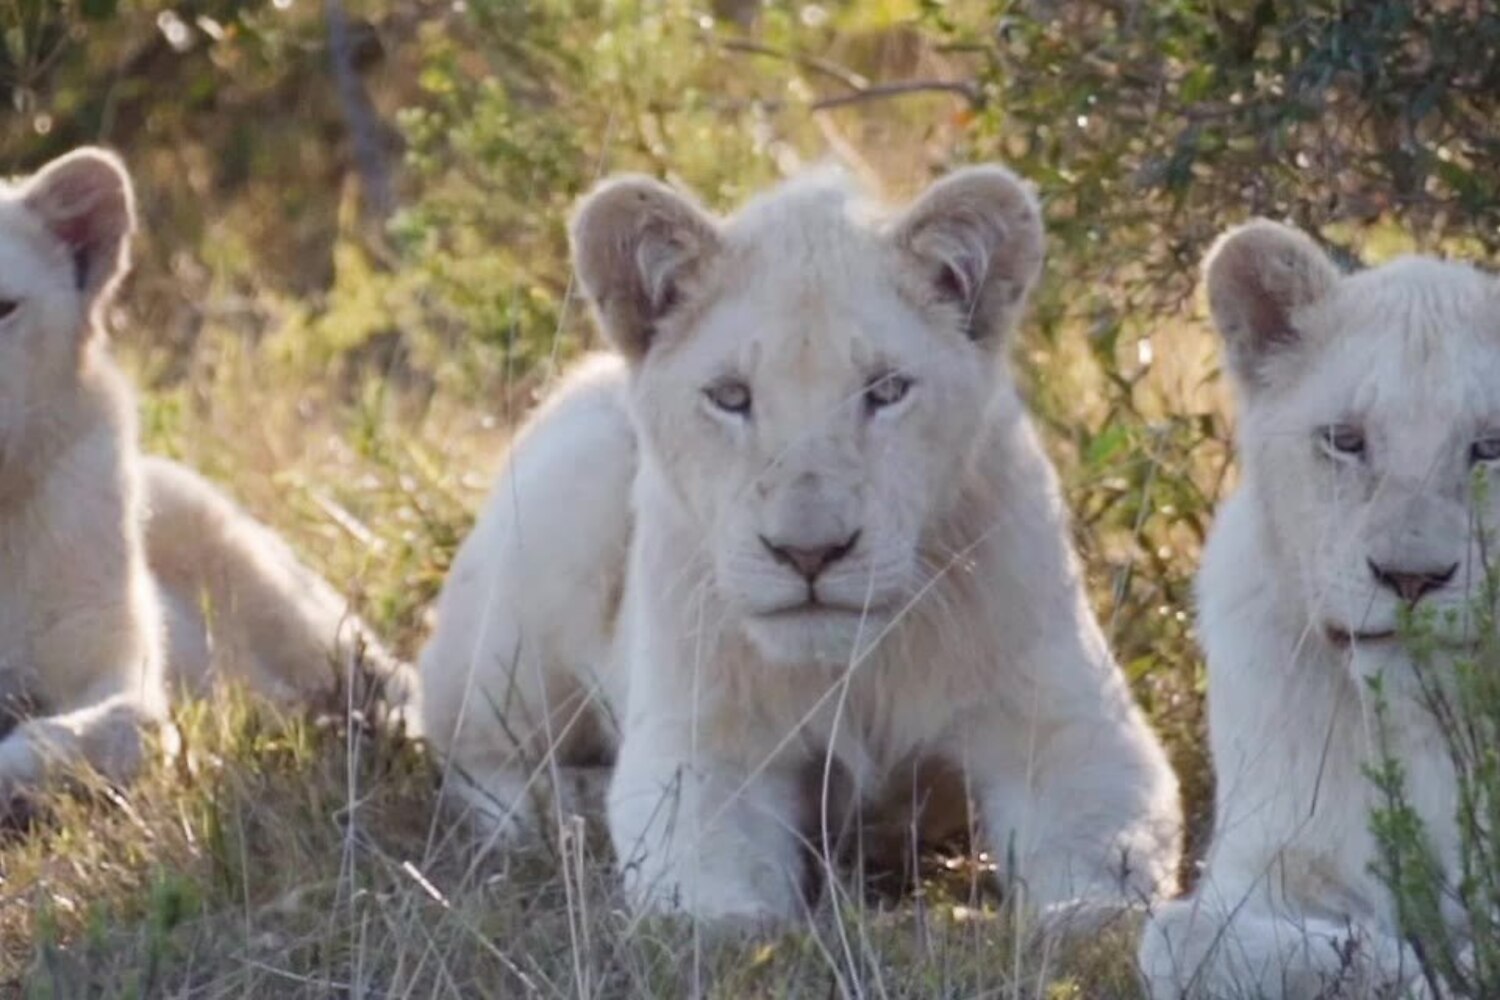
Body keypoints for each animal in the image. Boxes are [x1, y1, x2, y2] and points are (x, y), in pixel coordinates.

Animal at [418, 164, 1182, 924]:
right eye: (730, 396)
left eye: (887, 389)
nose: (809, 553)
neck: (854, 670)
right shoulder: (702, 750)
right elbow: (716, 915)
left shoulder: (1075, 732)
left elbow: (1101, 896)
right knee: (471, 753)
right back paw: (566, 812)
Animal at [1138, 222, 1499, 997]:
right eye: (1345, 440)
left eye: (1490, 447)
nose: (1411, 578)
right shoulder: (1269, 860)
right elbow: (1177, 937)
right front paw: (1385, 966)